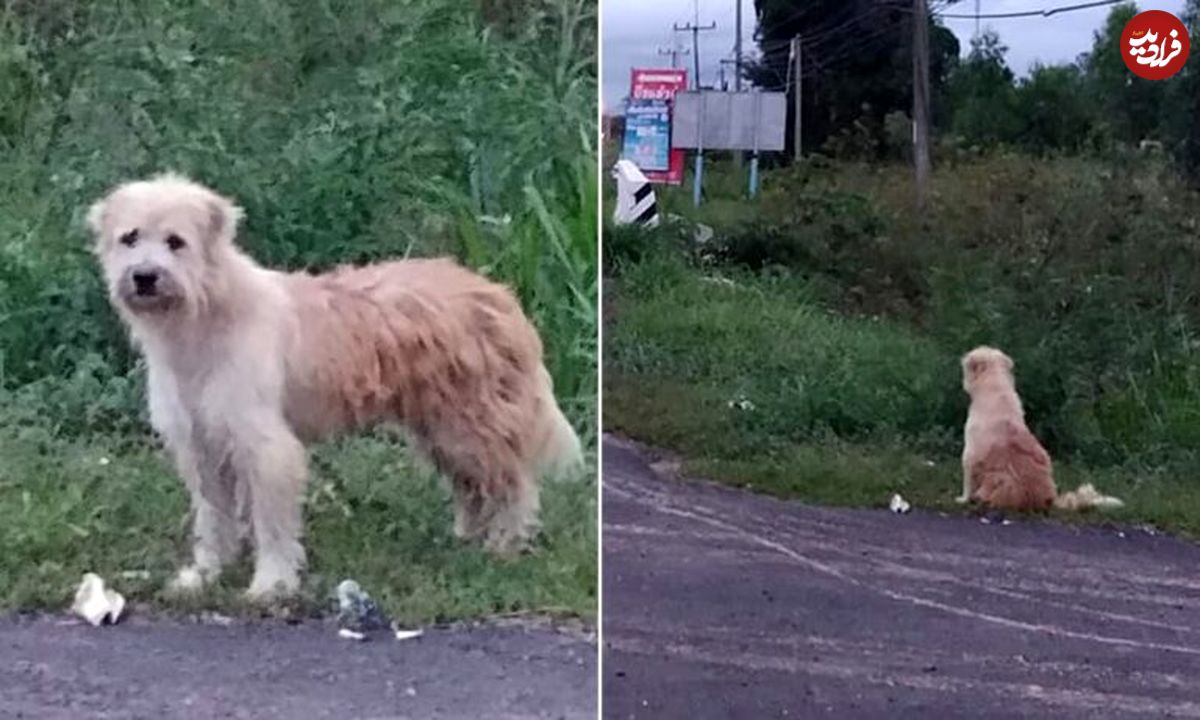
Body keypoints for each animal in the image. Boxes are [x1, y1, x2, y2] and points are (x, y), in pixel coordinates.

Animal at [87, 171, 583, 600]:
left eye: (176, 242)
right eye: (130, 237)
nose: (145, 277)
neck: (204, 316)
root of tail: (498, 294)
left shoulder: (264, 445)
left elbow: (272, 523)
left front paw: (271, 584)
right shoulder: (202, 445)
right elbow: (213, 518)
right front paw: (205, 574)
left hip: (470, 422)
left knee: (513, 482)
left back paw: (506, 544)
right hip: (441, 427)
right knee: (475, 484)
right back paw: (470, 536)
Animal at [955, 348, 1123, 511]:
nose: (962, 358)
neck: (995, 386)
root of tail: (1051, 500)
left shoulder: (970, 455)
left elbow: (967, 483)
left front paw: (963, 499)